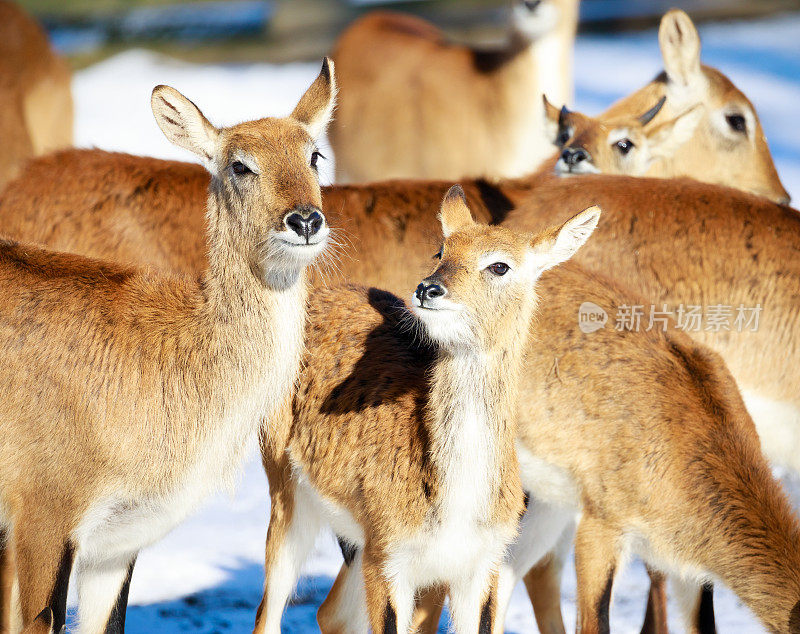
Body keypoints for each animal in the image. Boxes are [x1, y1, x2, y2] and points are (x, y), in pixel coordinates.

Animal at [253, 189, 596, 632]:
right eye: (441, 251)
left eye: (500, 265)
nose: (428, 289)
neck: (453, 510)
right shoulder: (389, 554)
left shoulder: (481, 563)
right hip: (287, 491)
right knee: (270, 613)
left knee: (331, 613)